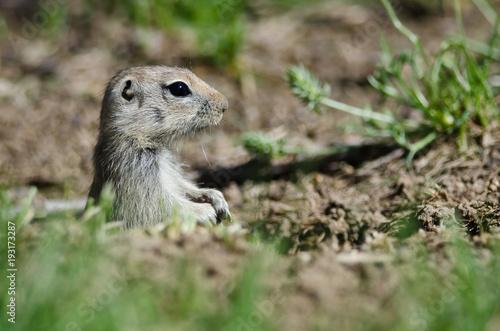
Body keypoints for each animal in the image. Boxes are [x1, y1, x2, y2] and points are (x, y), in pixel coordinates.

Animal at [88, 65, 230, 228]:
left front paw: (216, 197)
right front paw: (206, 211)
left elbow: (183, 186)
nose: (225, 105)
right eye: (179, 88)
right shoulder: (136, 176)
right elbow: (161, 206)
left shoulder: (172, 172)